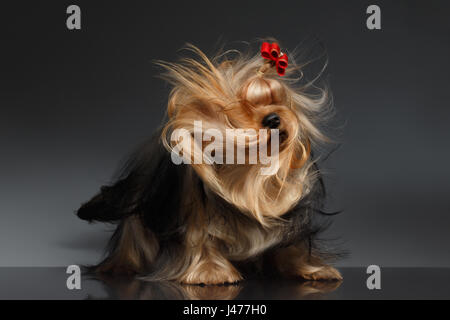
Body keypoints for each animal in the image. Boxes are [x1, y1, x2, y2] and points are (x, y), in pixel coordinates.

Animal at [77, 40, 342, 284]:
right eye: (241, 109)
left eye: (276, 101)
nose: (274, 118)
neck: (247, 171)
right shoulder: (194, 211)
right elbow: (200, 240)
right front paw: (211, 272)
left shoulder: (289, 221)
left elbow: (293, 246)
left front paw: (313, 269)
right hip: (143, 203)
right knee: (133, 236)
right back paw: (119, 267)